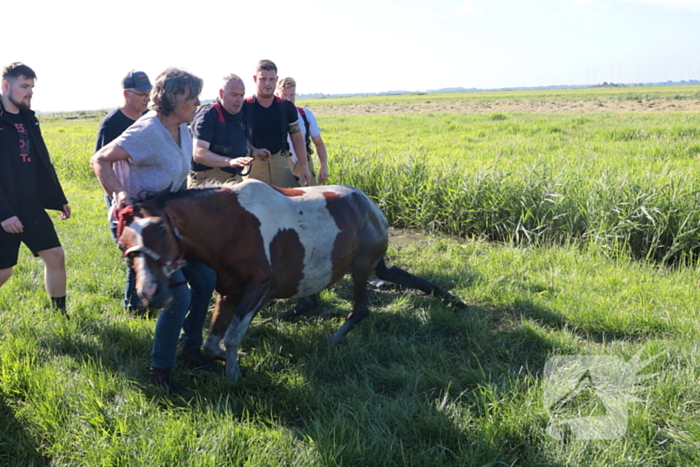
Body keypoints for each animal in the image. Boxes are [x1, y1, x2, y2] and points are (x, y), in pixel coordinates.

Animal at [116, 179, 464, 382]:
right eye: (122, 243)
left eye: (160, 227)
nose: (150, 293)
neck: (231, 225)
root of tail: (370, 205)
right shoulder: (229, 291)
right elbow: (213, 341)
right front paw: (230, 361)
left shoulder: (259, 287)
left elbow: (232, 336)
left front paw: (234, 377)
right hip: (354, 266)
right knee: (380, 281)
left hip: (361, 265)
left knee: (361, 309)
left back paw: (332, 341)